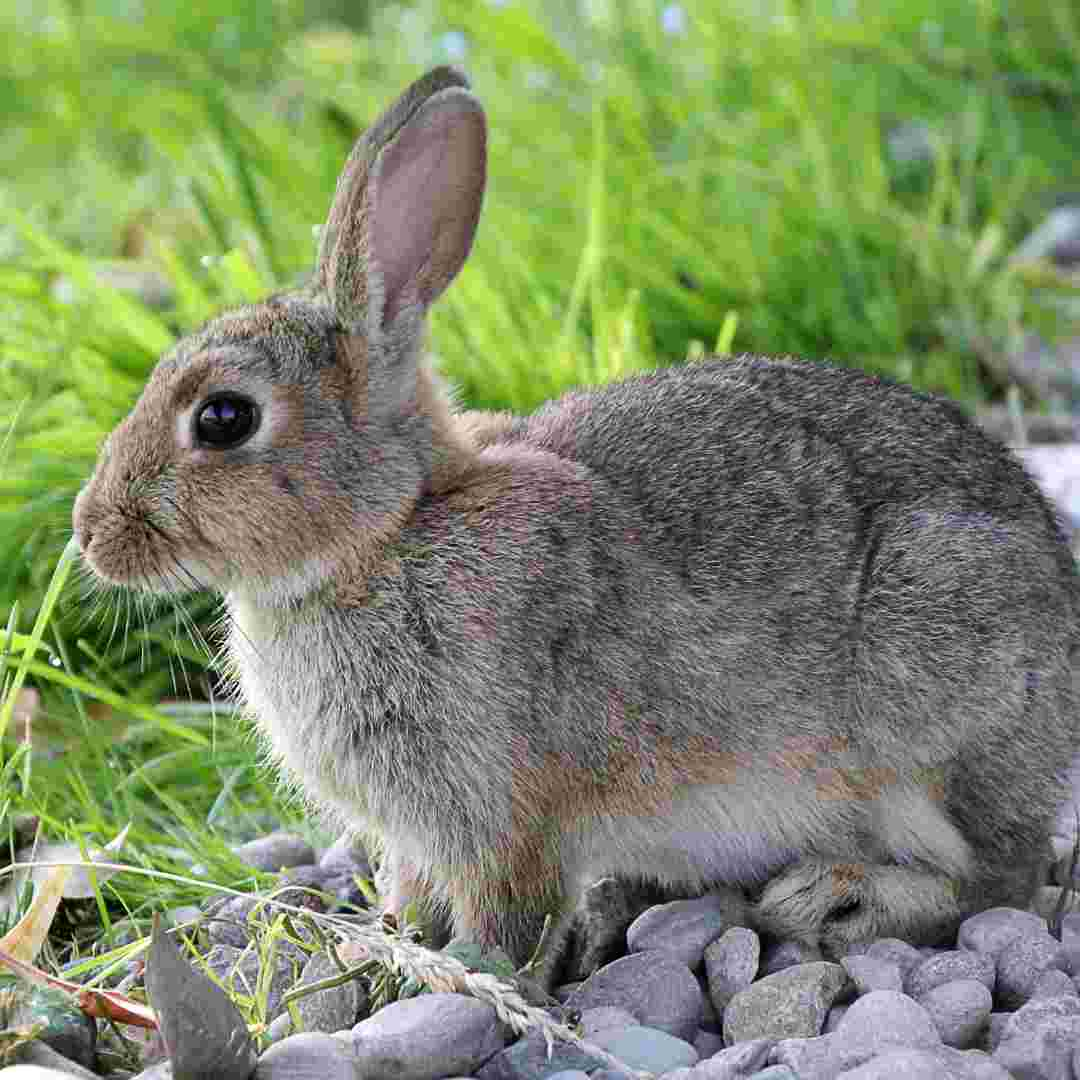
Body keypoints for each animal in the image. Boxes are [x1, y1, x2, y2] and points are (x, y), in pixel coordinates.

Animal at [76, 67, 1080, 989]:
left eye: (223, 419)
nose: (91, 534)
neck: (388, 535)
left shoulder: (502, 804)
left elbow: (508, 910)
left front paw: (467, 975)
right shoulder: (418, 832)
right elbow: (412, 888)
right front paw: (387, 945)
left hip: (938, 713)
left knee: (1000, 879)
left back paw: (838, 897)